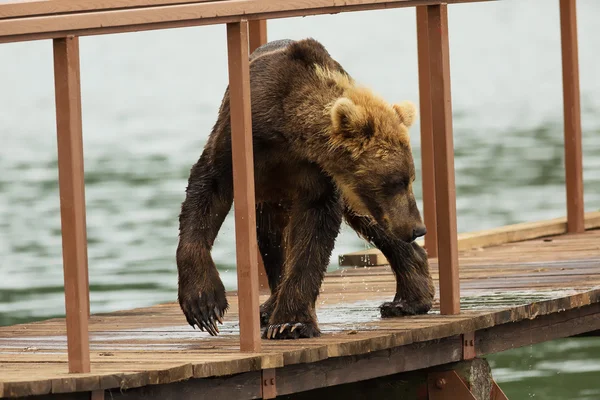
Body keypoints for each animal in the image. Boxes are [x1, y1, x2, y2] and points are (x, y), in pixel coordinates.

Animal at [176, 37, 434, 340]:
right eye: (396, 181)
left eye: (410, 178)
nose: (417, 228)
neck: (289, 128)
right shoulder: (238, 143)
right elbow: (206, 192)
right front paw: (205, 305)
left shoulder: (317, 175)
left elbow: (313, 235)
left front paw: (291, 323)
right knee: (272, 238)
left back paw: (408, 299)